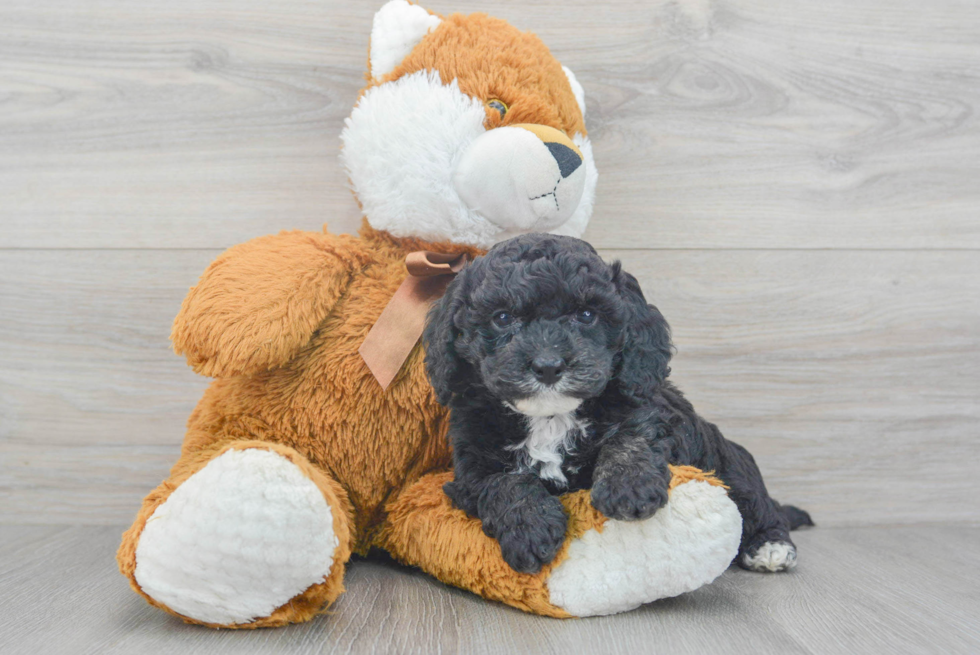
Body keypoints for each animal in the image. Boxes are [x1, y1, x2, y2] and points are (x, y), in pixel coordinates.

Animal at [422, 234, 812, 576]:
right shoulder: (470, 468)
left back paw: (770, 547)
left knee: (761, 507)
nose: (548, 365)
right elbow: (504, 483)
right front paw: (530, 528)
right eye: (502, 317)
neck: (550, 418)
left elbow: (630, 438)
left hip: (733, 468)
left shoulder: (651, 414)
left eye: (586, 315)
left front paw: (628, 486)